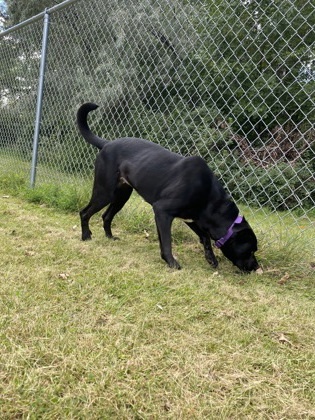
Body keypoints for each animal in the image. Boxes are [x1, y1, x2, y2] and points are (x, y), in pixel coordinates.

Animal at [76, 102, 260, 272]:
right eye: (250, 251)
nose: (256, 267)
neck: (207, 195)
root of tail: (107, 144)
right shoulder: (162, 211)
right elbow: (167, 241)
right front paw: (171, 262)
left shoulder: (192, 218)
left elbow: (205, 237)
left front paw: (211, 258)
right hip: (104, 192)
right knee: (85, 212)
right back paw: (86, 236)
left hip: (121, 196)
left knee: (106, 216)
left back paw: (109, 237)